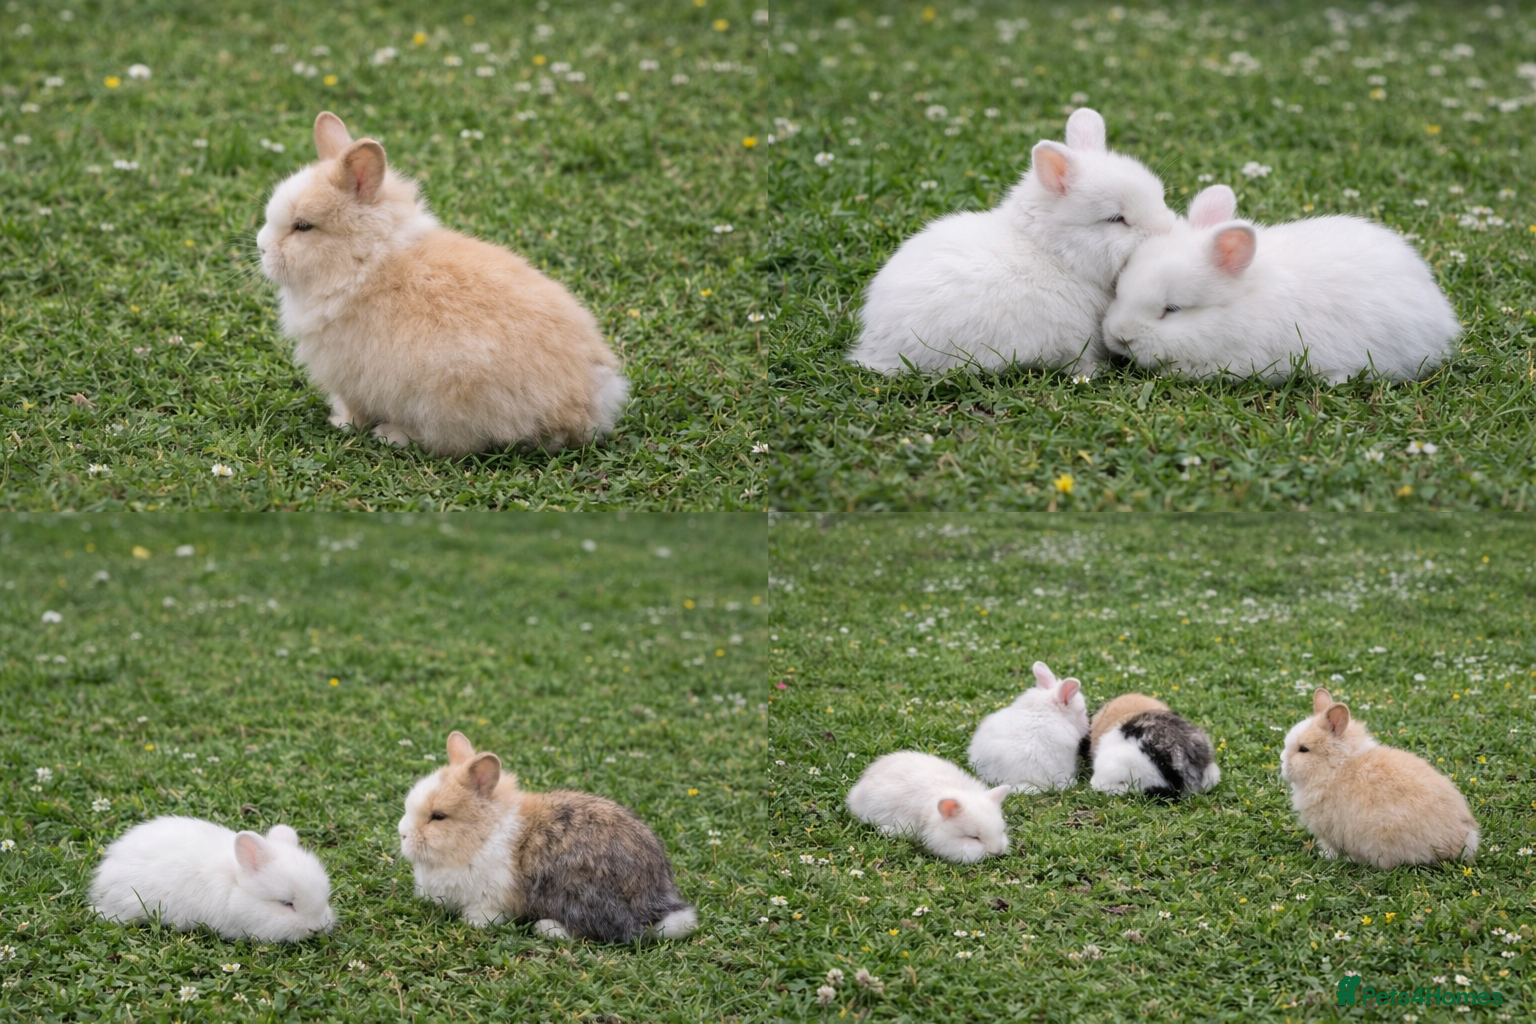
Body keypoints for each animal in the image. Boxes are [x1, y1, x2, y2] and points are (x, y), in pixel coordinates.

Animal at [256, 111, 628, 455]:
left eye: (304, 226)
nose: (261, 248)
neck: (367, 262)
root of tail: (583, 406)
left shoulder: (349, 379)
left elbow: (355, 409)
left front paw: (341, 422)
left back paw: (392, 434)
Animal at [398, 731, 694, 943]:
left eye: (438, 816)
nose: (403, 834)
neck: (483, 834)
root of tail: (657, 902)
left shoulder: (490, 900)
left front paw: (471, 924)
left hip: (577, 895)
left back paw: (547, 928)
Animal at [847, 107, 1174, 376]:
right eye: (1116, 219)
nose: (1166, 230)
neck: (1055, 254)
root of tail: (874, 347)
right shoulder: (1073, 338)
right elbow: (1077, 360)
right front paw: (1093, 373)